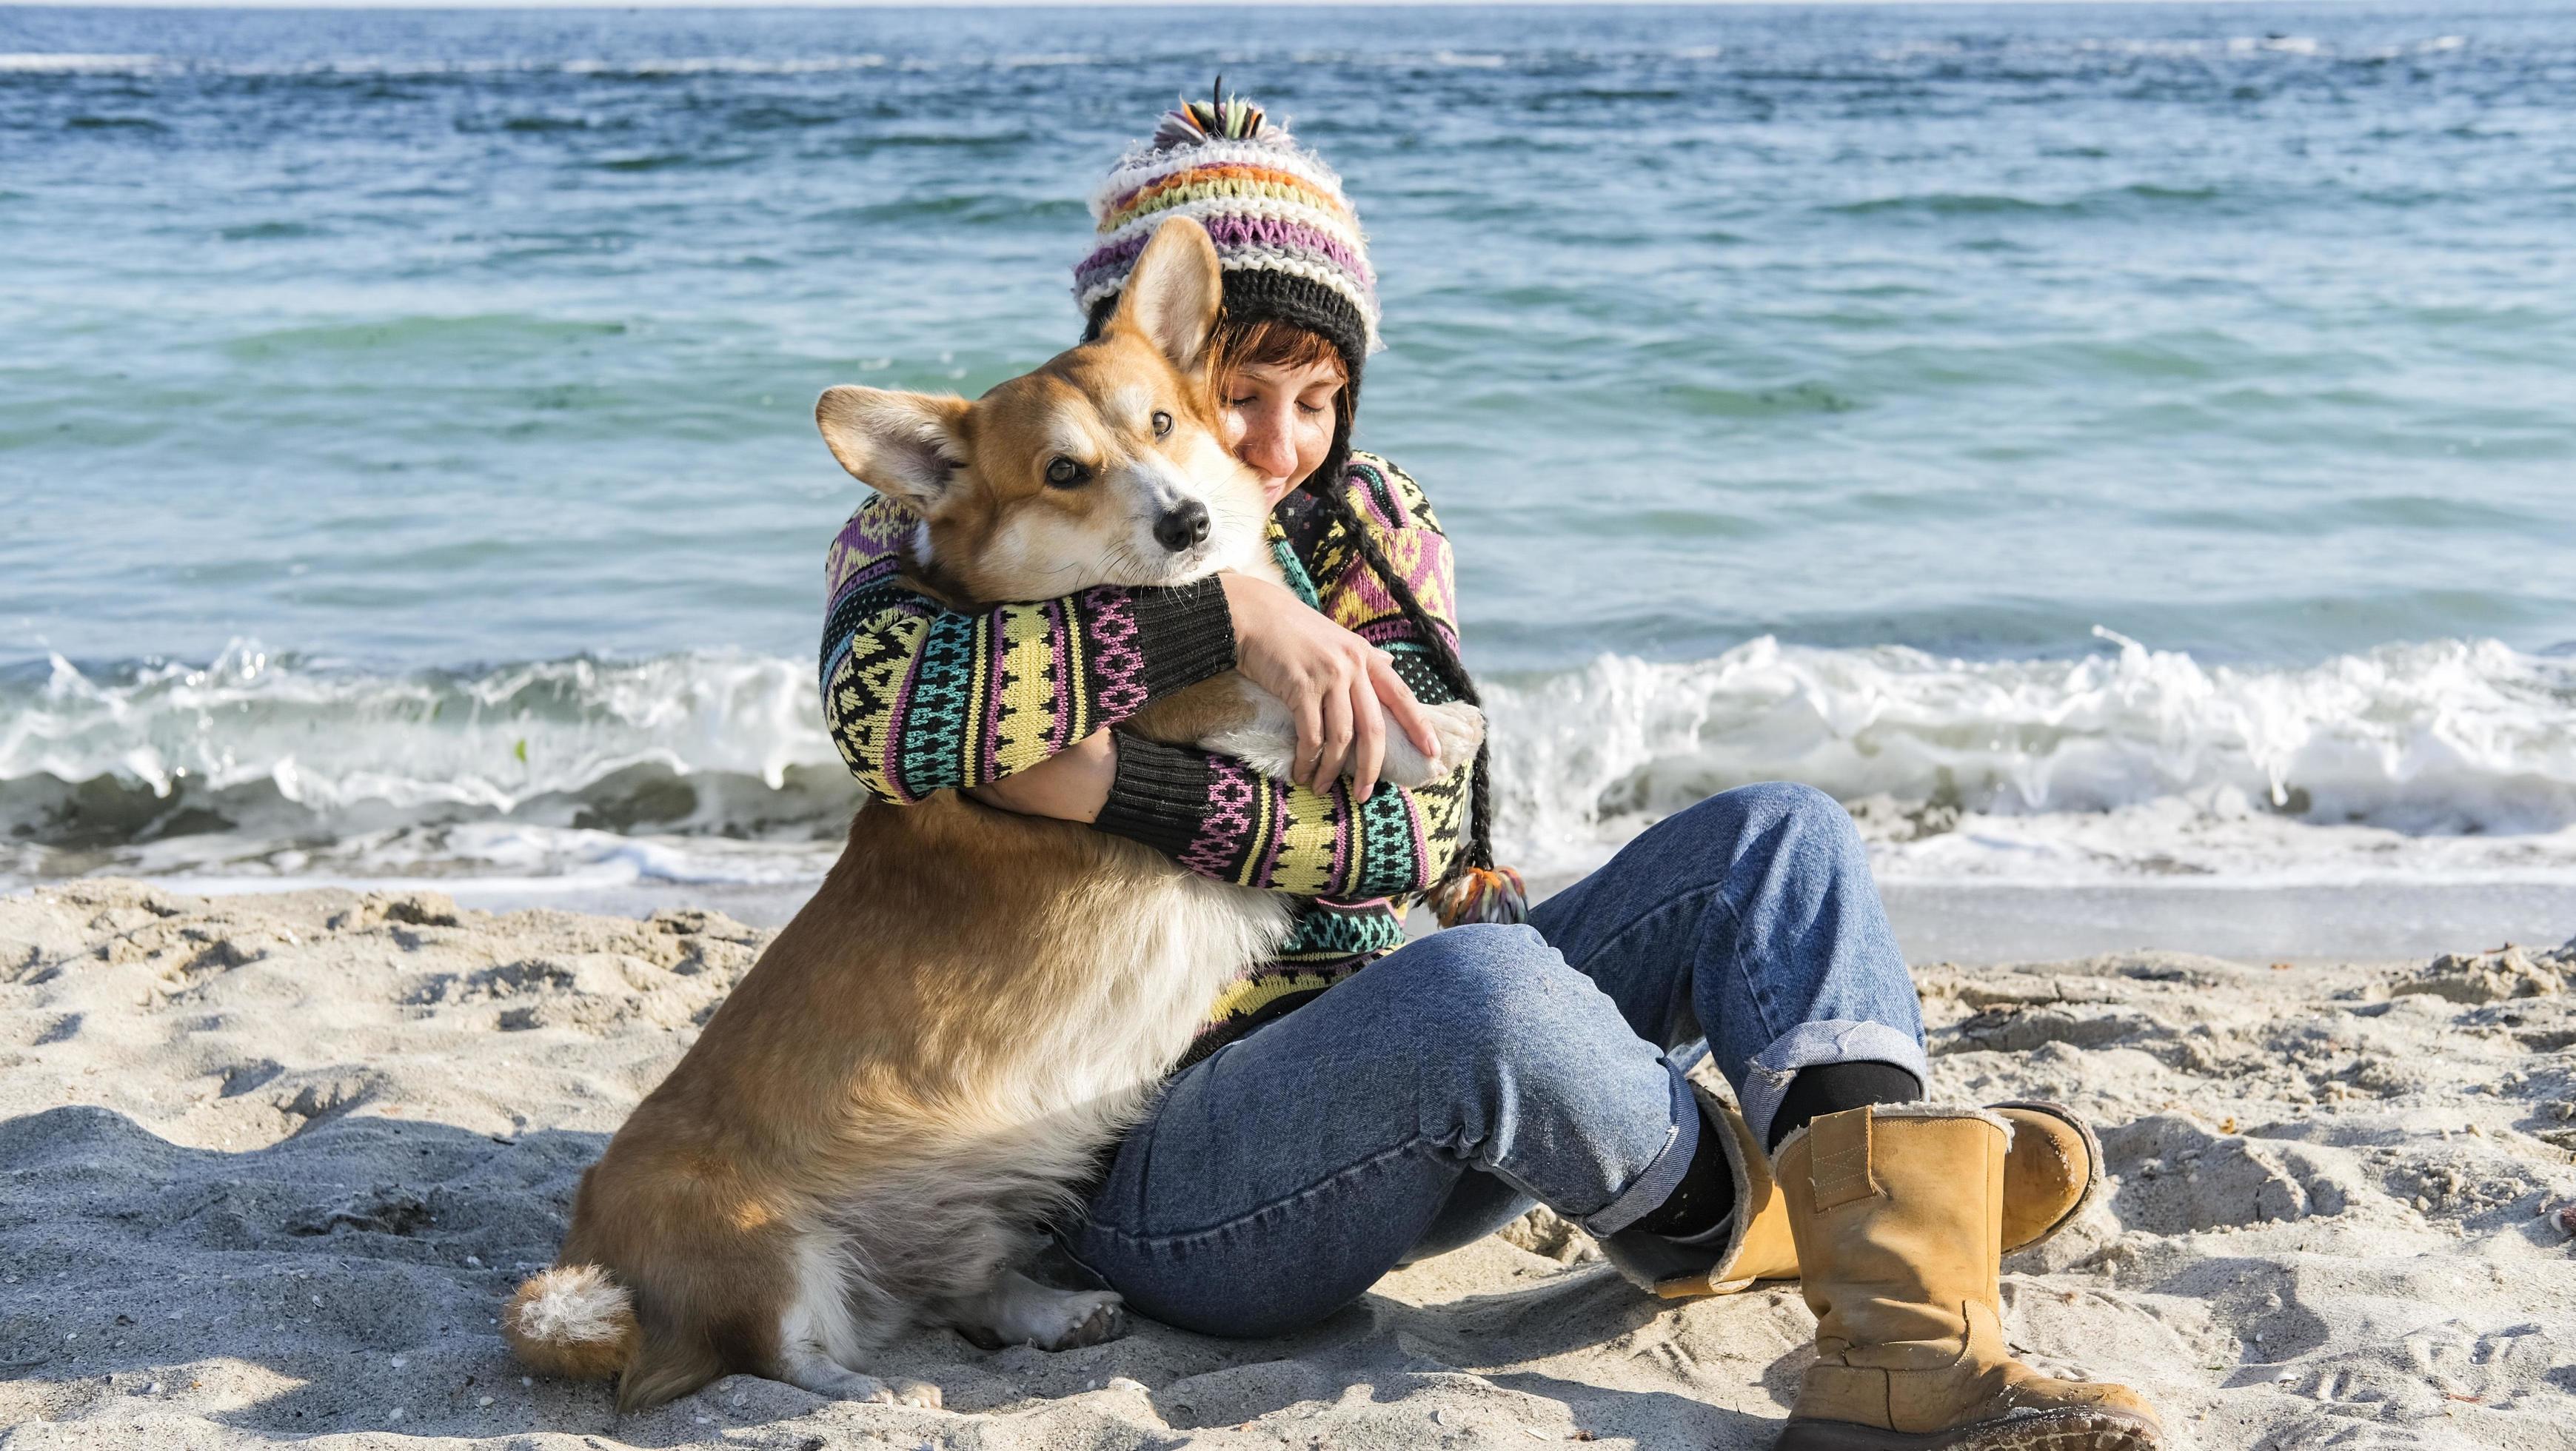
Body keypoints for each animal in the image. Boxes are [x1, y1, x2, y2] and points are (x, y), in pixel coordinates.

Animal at [497, 221, 1493, 1412]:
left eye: (1161, 424)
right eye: (1064, 472)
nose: (1187, 522)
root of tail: (594, 1257)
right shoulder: (1175, 705)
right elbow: (1283, 686)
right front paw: (1429, 724)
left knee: (953, 1292)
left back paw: (1052, 1312)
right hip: (756, 1246)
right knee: (776, 1353)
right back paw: (870, 1396)